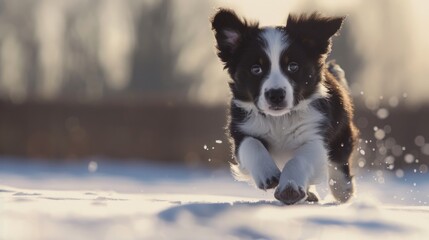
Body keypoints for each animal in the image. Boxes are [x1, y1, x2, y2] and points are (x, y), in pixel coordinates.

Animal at [211, 9, 358, 204]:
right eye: (256, 69)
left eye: (293, 66)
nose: (276, 95)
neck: (279, 119)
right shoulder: (241, 130)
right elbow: (251, 144)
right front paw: (269, 175)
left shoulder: (315, 132)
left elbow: (300, 159)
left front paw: (290, 187)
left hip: (342, 131)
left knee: (339, 160)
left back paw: (343, 190)